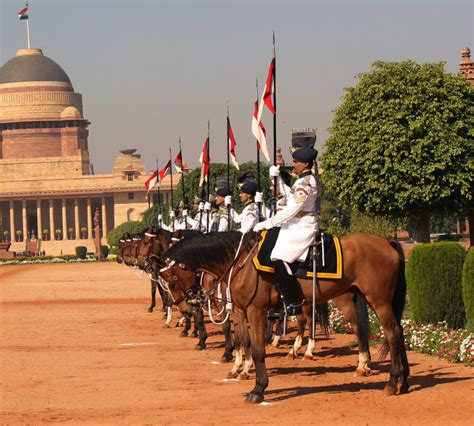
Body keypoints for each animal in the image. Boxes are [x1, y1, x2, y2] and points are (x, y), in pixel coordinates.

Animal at [161, 231, 410, 402]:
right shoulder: (240, 311)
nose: (186, 308)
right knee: (396, 332)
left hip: (377, 300)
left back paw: (390, 381)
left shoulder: (256, 310)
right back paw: (403, 381)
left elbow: (258, 350)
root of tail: (387, 242)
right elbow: (244, 341)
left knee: (390, 333)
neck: (240, 262)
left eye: (172, 280)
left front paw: (258, 388)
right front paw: (241, 370)